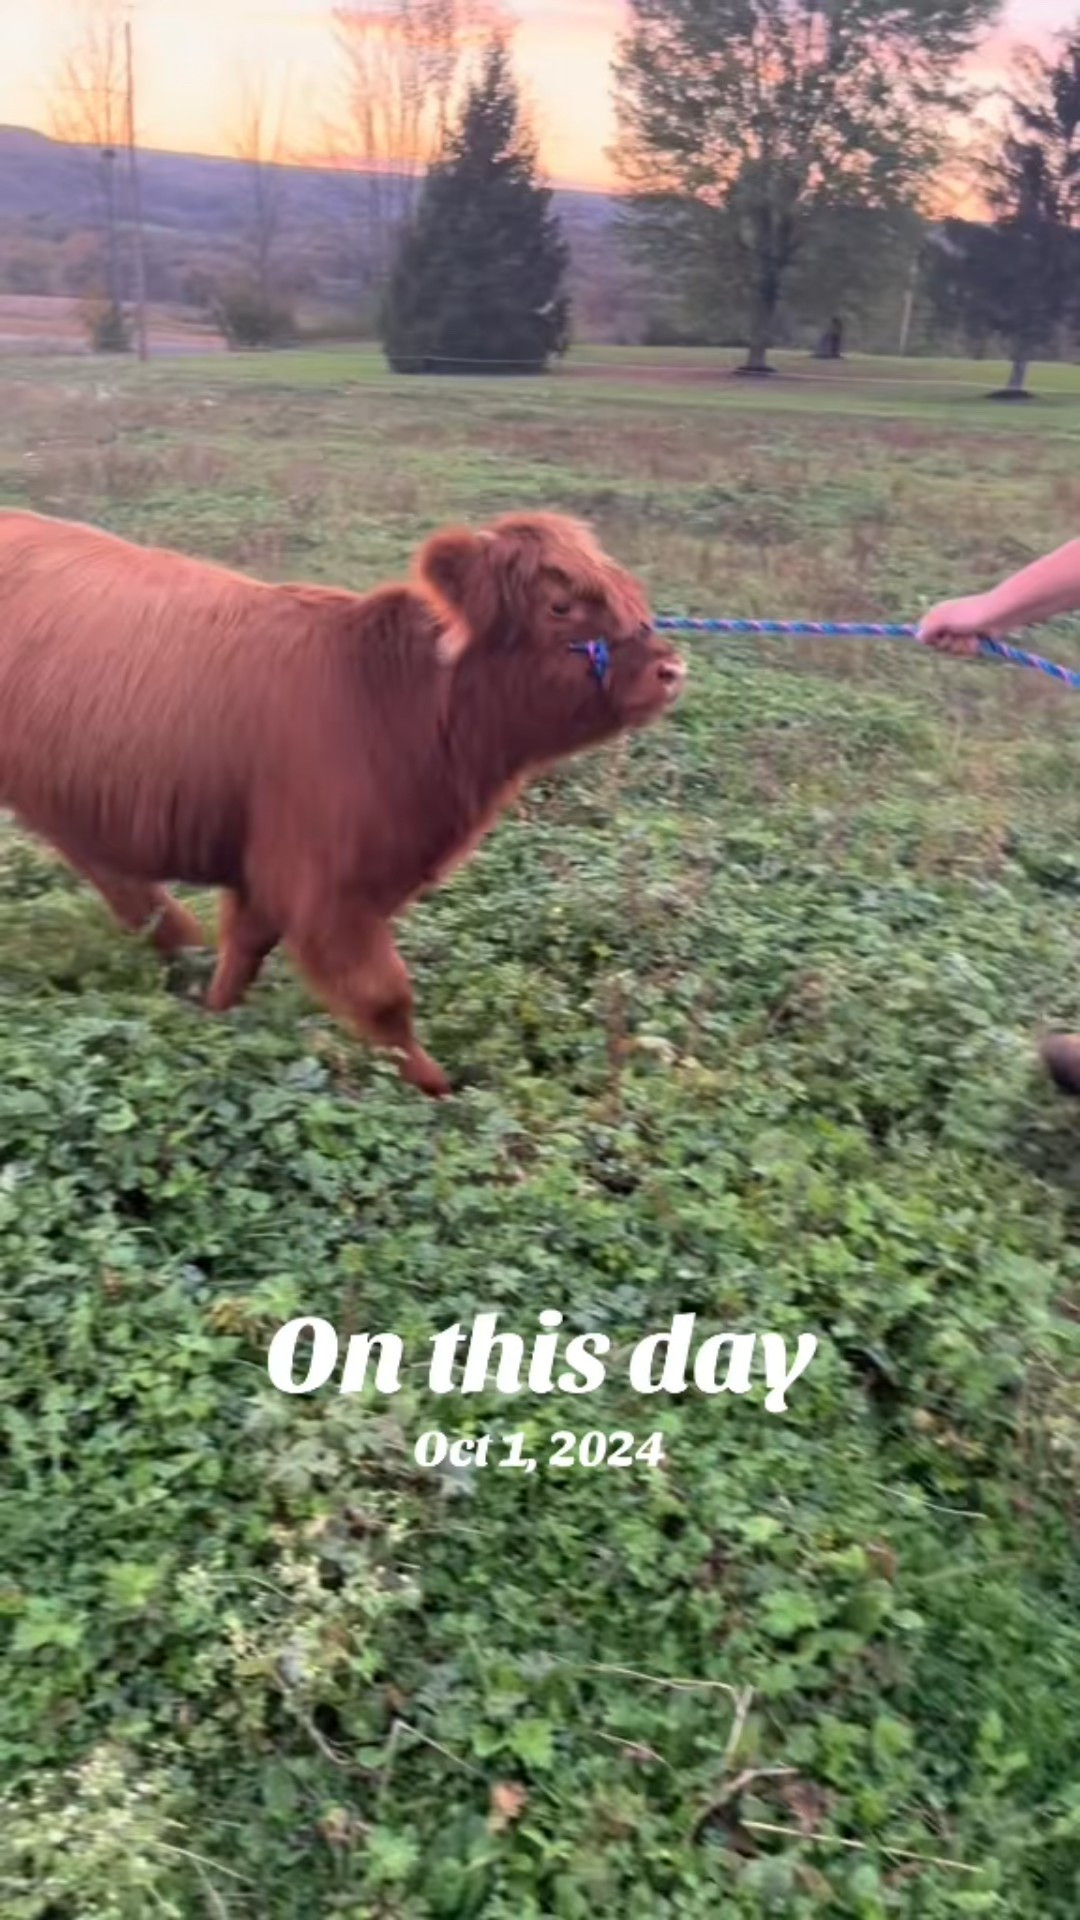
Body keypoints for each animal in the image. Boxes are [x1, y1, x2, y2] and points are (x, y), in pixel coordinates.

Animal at [0, 508, 685, 1096]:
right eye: (561, 605)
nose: (671, 670)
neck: (399, 702)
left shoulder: (273, 872)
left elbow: (243, 950)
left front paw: (213, 1017)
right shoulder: (325, 888)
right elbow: (383, 998)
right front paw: (440, 1093)